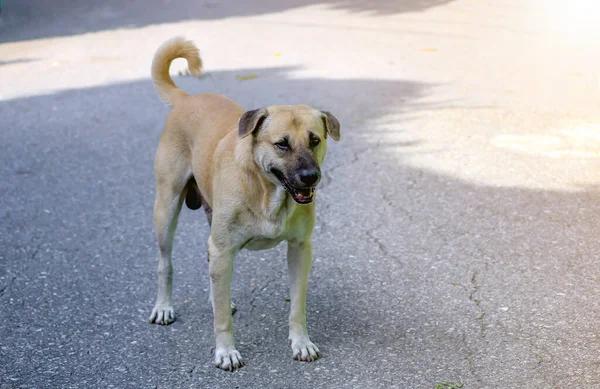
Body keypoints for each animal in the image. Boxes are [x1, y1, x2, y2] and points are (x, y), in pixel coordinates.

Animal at [148, 37, 340, 370]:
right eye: (282, 144)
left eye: (315, 140)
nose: (310, 177)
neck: (267, 191)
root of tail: (187, 99)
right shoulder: (224, 248)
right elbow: (223, 320)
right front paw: (225, 351)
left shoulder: (300, 249)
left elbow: (297, 305)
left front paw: (301, 342)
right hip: (166, 209)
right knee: (165, 263)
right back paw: (164, 306)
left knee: (211, 270)